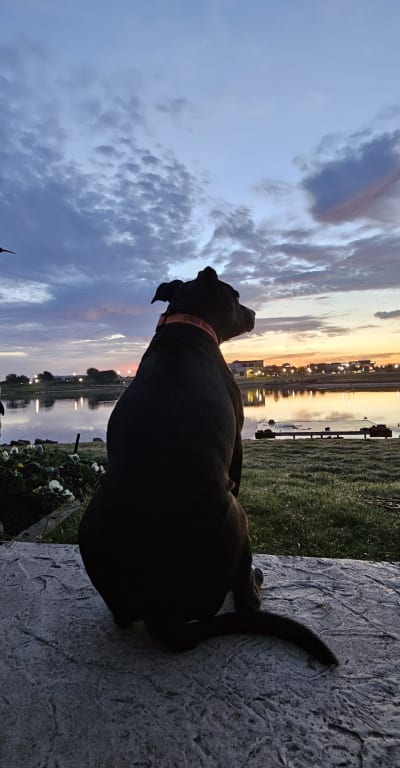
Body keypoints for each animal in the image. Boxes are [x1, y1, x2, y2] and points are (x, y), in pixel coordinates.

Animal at [79, 268, 338, 664]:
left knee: (121, 617)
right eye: (236, 295)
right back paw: (255, 584)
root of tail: (162, 614)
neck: (187, 325)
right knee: (245, 599)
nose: (254, 313)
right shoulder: (237, 447)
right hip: (237, 518)